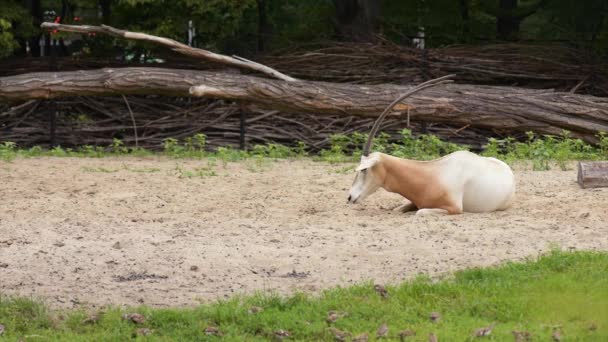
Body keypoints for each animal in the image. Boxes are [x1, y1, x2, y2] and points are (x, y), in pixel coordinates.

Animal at [350, 76, 516, 215]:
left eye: (364, 169)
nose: (350, 197)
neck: (429, 176)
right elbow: (398, 209)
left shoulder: (454, 208)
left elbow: (420, 212)